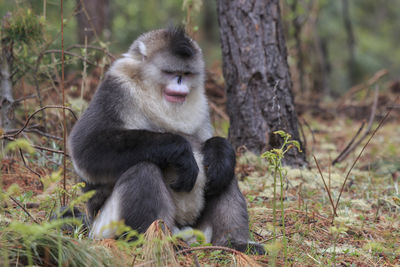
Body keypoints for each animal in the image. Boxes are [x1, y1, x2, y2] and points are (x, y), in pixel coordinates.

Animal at [68, 27, 266, 255]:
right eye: (171, 72)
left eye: (187, 74)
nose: (180, 81)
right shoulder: (116, 89)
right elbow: (86, 148)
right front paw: (181, 151)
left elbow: (207, 143)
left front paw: (220, 151)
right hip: (106, 227)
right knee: (144, 169)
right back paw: (158, 243)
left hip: (199, 228)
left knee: (224, 176)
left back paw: (234, 243)